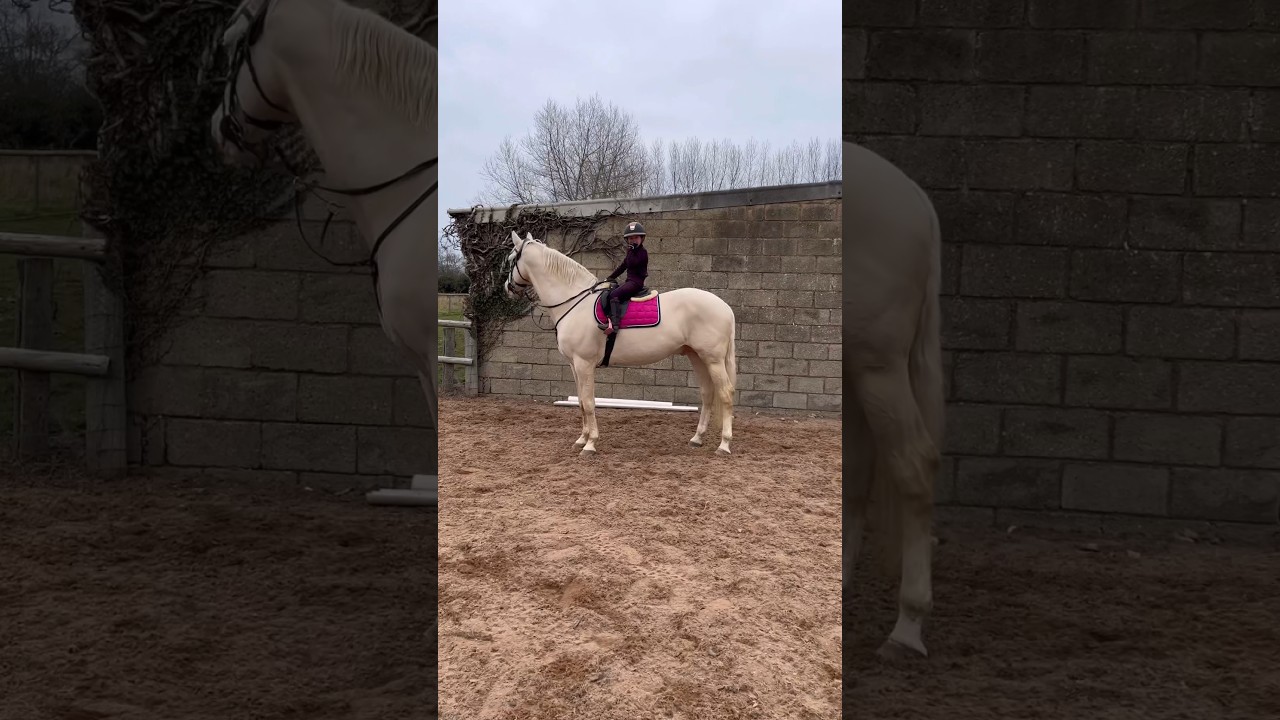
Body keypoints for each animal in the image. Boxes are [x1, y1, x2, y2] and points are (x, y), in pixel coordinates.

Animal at [502, 230, 738, 457]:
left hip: (713, 359)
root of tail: (725, 307)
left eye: (511, 259)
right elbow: (580, 402)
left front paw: (590, 444)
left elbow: (589, 403)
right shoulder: (574, 365)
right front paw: (581, 439)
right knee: (707, 393)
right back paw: (697, 439)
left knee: (725, 393)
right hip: (696, 356)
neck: (575, 302)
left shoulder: (584, 364)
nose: (507, 288)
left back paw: (724, 445)